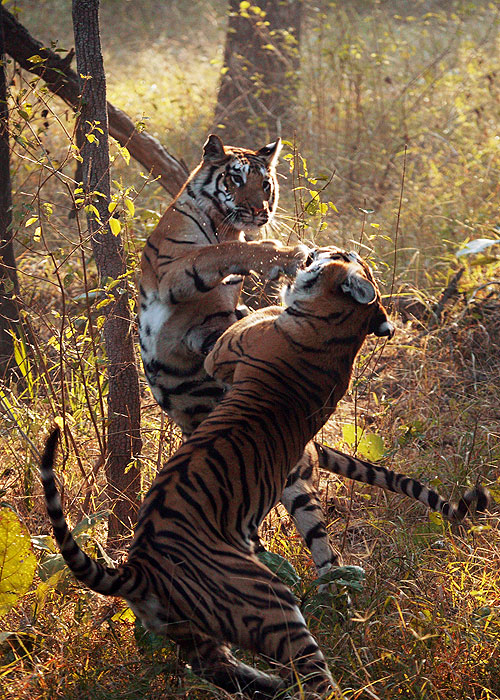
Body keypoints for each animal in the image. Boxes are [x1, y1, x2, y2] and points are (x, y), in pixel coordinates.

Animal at [42, 249, 488, 696]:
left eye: (340, 256)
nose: (321, 248)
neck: (340, 328)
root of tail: (141, 571)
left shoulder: (225, 350)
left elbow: (250, 317)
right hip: (200, 625)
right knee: (216, 663)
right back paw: (270, 682)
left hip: (265, 601)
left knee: (307, 673)